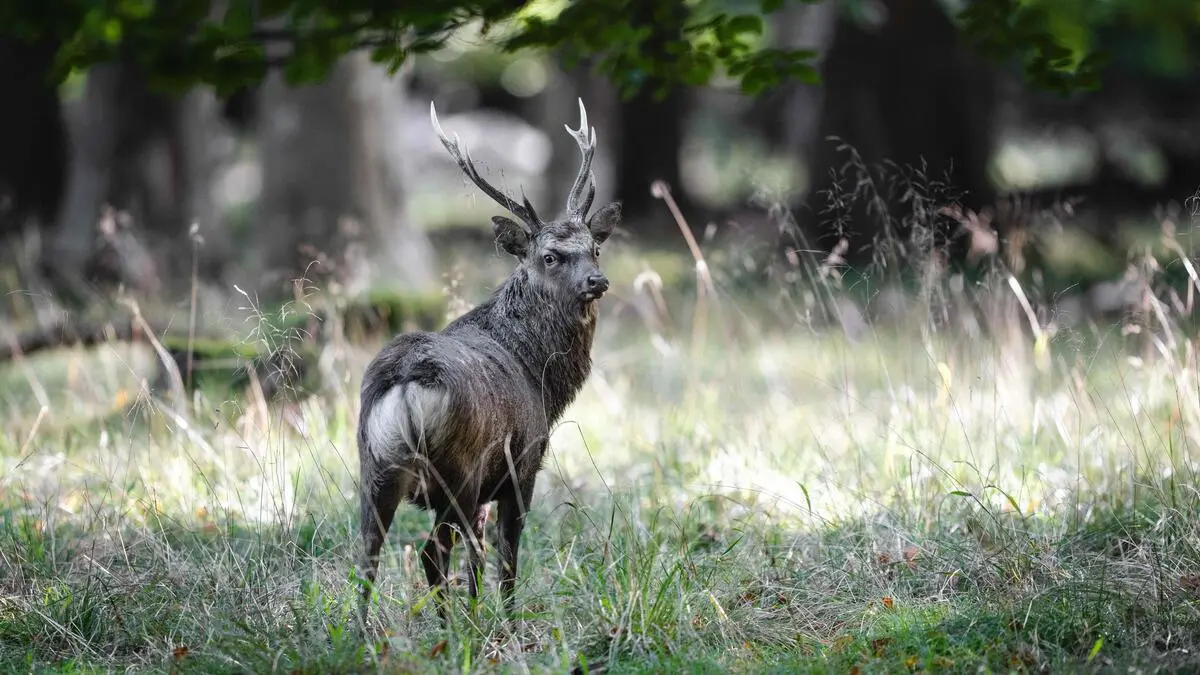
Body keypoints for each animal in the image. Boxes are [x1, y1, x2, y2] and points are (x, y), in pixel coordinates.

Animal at [355, 98, 621, 625]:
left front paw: (481, 617)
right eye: (550, 256)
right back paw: (447, 631)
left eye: (595, 248)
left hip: (374, 467)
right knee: (432, 553)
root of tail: (406, 382)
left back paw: (362, 631)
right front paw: (508, 623)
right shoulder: (522, 465)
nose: (597, 281)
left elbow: (477, 561)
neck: (541, 379)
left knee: (368, 556)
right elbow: (507, 558)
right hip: (456, 472)